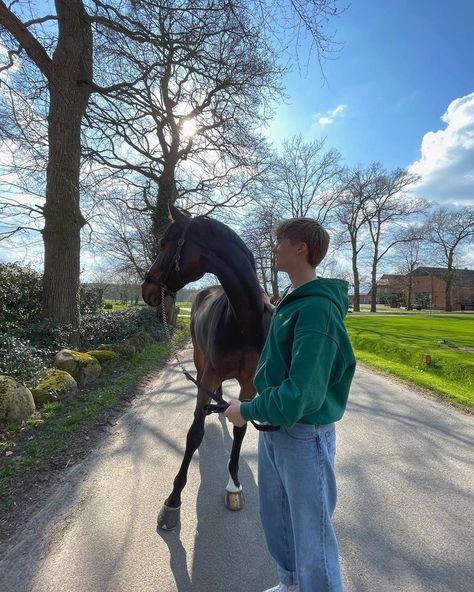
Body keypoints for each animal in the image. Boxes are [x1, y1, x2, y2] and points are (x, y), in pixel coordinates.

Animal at [141, 206, 272, 528]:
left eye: (164, 243)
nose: (146, 288)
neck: (245, 321)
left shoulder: (249, 383)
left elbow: (240, 429)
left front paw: (233, 484)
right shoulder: (210, 375)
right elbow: (194, 433)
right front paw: (172, 501)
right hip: (200, 362)